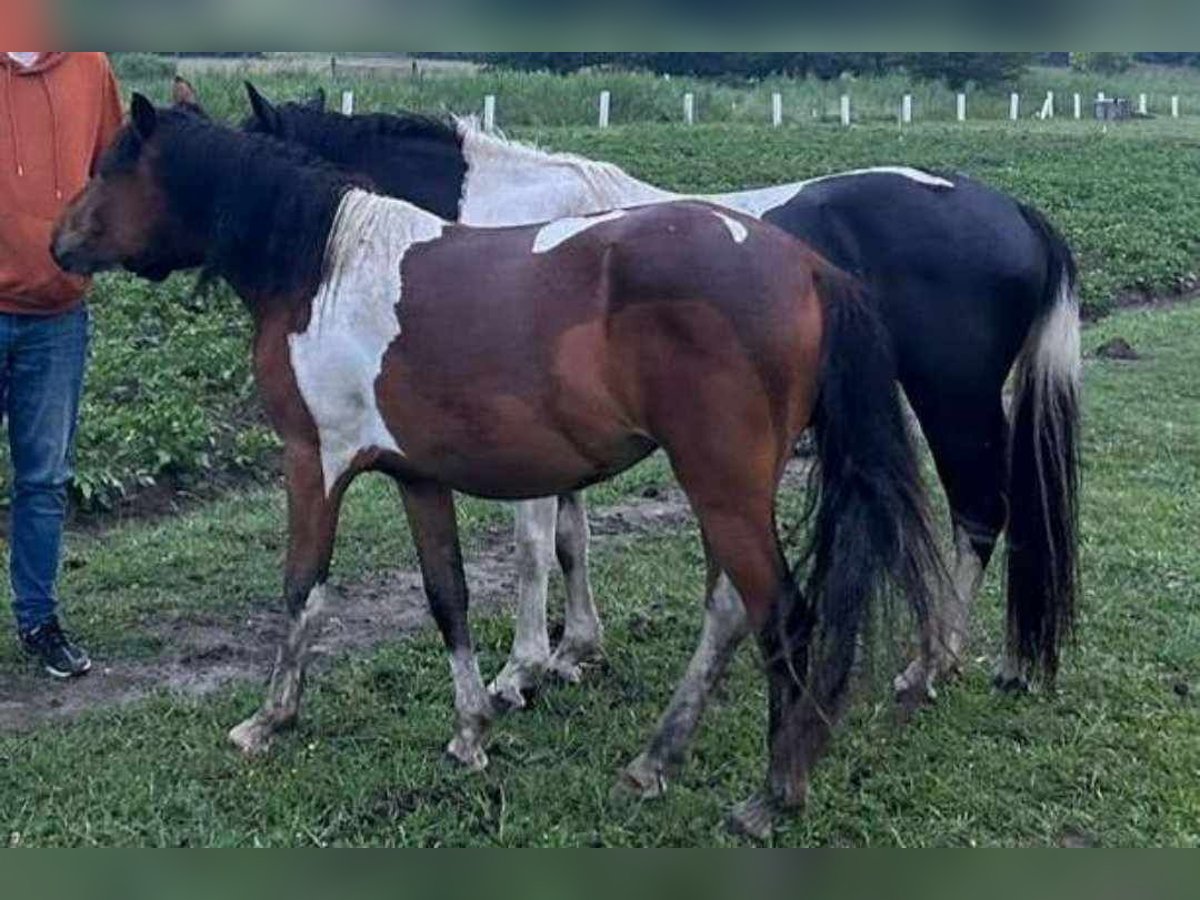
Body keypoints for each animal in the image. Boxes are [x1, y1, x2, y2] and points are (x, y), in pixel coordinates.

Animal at [51, 98, 940, 840]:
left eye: (110, 166)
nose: (58, 243)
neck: (325, 269)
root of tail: (809, 267)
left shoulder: (314, 462)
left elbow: (304, 590)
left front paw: (269, 720)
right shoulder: (417, 476)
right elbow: (448, 595)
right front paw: (472, 730)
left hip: (723, 487)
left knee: (782, 616)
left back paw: (773, 792)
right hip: (729, 492)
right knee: (730, 610)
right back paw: (656, 761)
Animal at [241, 84, 1080, 801]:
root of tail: (1013, 210)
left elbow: (532, 547)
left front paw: (521, 673)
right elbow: (572, 538)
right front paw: (576, 650)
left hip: (952, 400)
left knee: (980, 512)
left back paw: (929, 664)